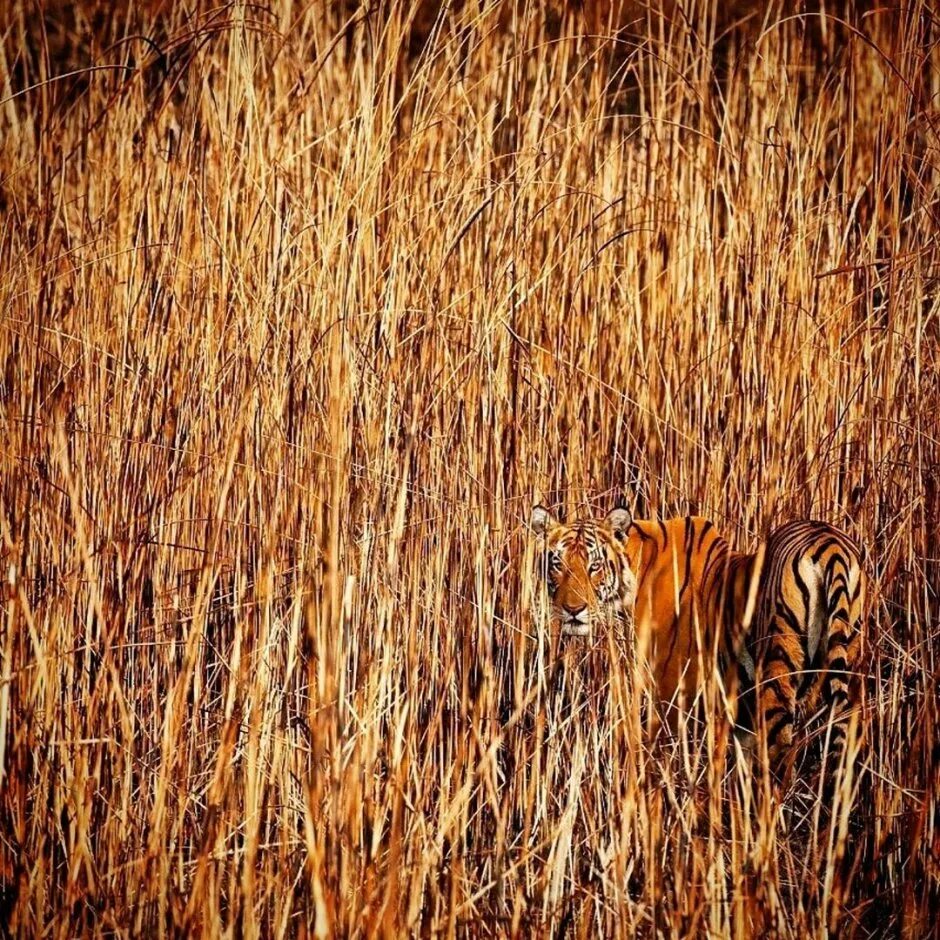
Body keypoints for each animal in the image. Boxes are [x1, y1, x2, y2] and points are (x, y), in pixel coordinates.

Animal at [528, 506, 868, 772]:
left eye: (594, 566)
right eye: (558, 564)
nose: (573, 610)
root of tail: (830, 544)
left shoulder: (672, 695)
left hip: (777, 675)